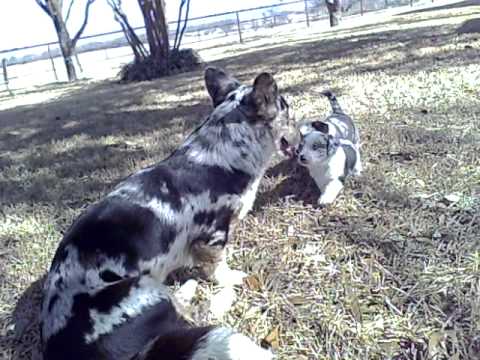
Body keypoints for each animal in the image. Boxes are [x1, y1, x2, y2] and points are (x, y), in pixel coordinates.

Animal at [38, 68, 292, 360]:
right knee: (195, 313)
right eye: (287, 107)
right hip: (143, 288)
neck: (225, 151)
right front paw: (230, 277)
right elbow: (218, 266)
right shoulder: (213, 235)